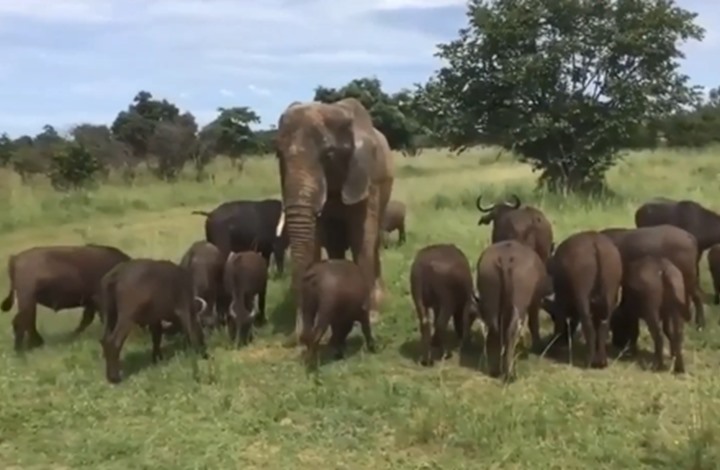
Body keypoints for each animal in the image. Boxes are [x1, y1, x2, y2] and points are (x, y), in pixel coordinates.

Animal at [1, 244, 130, 350]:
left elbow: (86, 319)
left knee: (27, 321)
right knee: (22, 321)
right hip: (27, 299)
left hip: (29, 301)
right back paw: (23, 349)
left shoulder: (91, 302)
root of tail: (16, 258)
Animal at [276, 96, 396, 346]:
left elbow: (362, 238)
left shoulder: (367, 176)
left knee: (374, 242)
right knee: (335, 246)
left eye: (328, 155)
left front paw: (371, 316)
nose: (298, 337)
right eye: (278, 155)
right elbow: (316, 238)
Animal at [476, 241, 548, 380]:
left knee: (494, 329)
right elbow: (534, 323)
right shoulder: (535, 303)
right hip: (519, 305)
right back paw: (510, 374)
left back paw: (495, 370)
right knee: (512, 330)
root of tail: (505, 259)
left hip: (491, 300)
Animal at [548, 229, 620, 370]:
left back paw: (589, 360)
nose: (566, 338)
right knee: (604, 324)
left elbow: (560, 320)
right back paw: (601, 361)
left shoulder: (560, 301)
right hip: (609, 296)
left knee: (588, 324)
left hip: (582, 297)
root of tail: (596, 244)